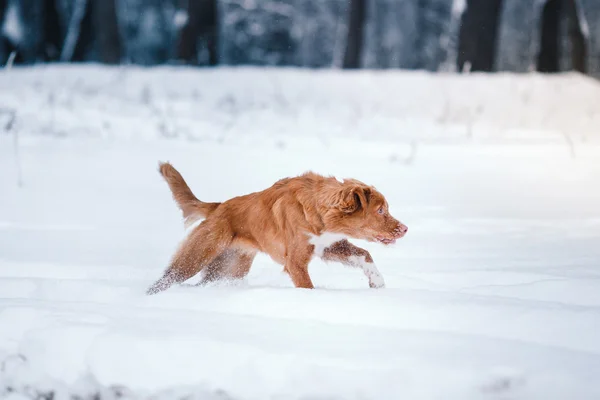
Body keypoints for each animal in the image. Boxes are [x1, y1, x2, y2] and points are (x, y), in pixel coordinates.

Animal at [146, 161, 408, 296]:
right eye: (380, 210)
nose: (405, 229)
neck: (317, 211)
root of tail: (218, 207)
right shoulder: (296, 260)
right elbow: (307, 286)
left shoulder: (328, 246)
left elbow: (364, 255)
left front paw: (377, 283)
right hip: (198, 255)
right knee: (167, 278)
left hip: (228, 268)